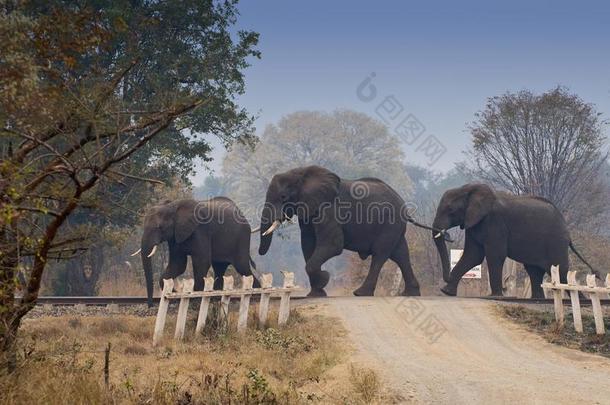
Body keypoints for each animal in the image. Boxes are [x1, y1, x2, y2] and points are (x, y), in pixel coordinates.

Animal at [255, 165, 418, 296]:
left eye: (283, 197)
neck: (300, 173)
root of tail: (404, 204)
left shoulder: (328, 209)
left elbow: (332, 245)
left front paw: (324, 278)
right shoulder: (308, 210)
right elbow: (307, 245)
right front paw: (316, 293)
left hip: (390, 224)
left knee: (380, 254)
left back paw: (360, 293)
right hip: (395, 227)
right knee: (401, 254)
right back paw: (411, 293)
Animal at [430, 183, 596, 296]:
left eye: (450, 210)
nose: (446, 235)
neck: (469, 189)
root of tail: (567, 230)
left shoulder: (495, 223)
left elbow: (494, 255)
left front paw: (495, 296)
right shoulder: (473, 222)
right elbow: (473, 256)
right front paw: (446, 292)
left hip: (556, 242)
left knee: (560, 272)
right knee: (534, 272)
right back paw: (537, 299)